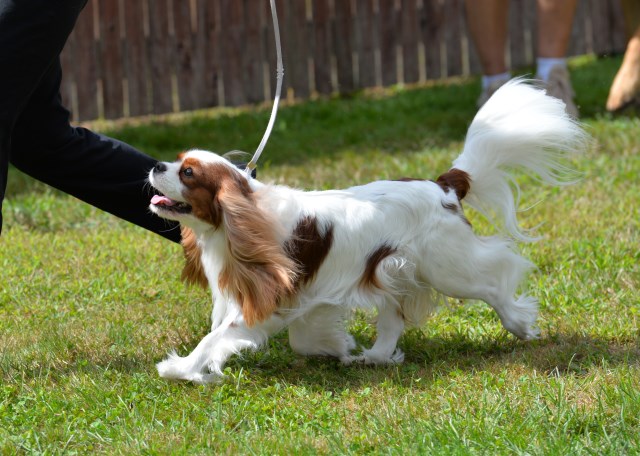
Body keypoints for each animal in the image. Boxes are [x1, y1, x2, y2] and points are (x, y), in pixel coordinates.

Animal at [149, 80, 584, 382]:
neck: (239, 216)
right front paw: (338, 346)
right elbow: (303, 335)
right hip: (392, 269)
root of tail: (444, 185)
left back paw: (520, 325)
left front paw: (182, 368)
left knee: (494, 283)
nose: (155, 165)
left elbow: (215, 338)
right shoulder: (305, 293)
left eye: (188, 173)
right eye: (176, 160)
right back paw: (374, 357)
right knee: (393, 321)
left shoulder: (270, 297)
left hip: (447, 266)